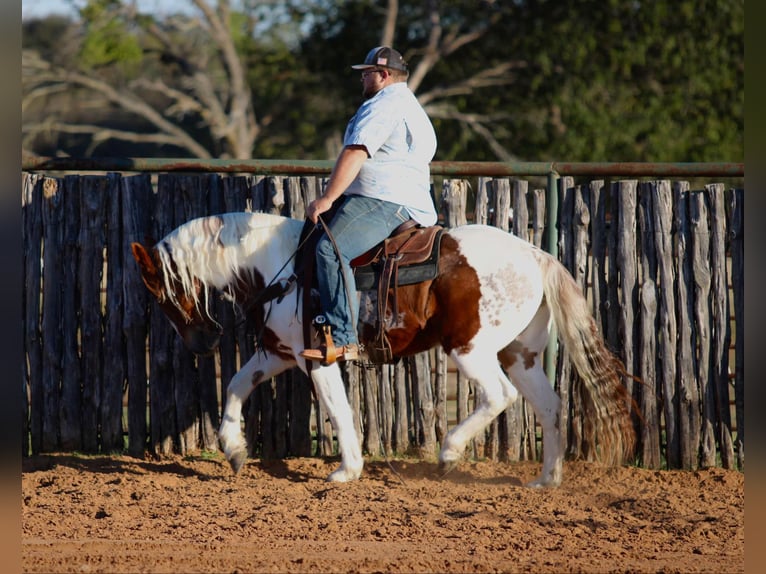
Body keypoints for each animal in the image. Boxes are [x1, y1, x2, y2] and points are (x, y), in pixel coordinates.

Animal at [130, 209, 636, 488]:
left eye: (163, 292)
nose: (204, 341)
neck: (280, 266)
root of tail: (535, 254)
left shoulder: (318, 359)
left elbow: (337, 409)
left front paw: (347, 470)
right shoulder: (278, 352)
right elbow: (236, 384)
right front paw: (234, 448)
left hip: (470, 350)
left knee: (499, 396)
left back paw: (449, 453)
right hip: (521, 356)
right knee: (551, 407)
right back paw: (547, 480)